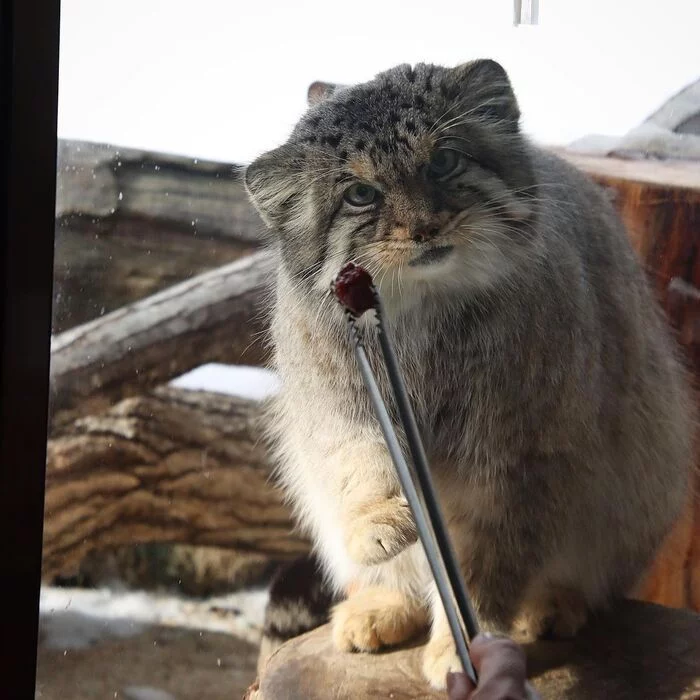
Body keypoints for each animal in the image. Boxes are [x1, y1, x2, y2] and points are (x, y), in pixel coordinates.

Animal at [243, 61, 692, 688]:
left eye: (443, 162)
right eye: (360, 194)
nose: (425, 226)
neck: (421, 319)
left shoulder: (516, 460)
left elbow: (485, 565)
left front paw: (466, 650)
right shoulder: (341, 411)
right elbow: (361, 467)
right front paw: (377, 523)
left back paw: (552, 604)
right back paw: (382, 604)